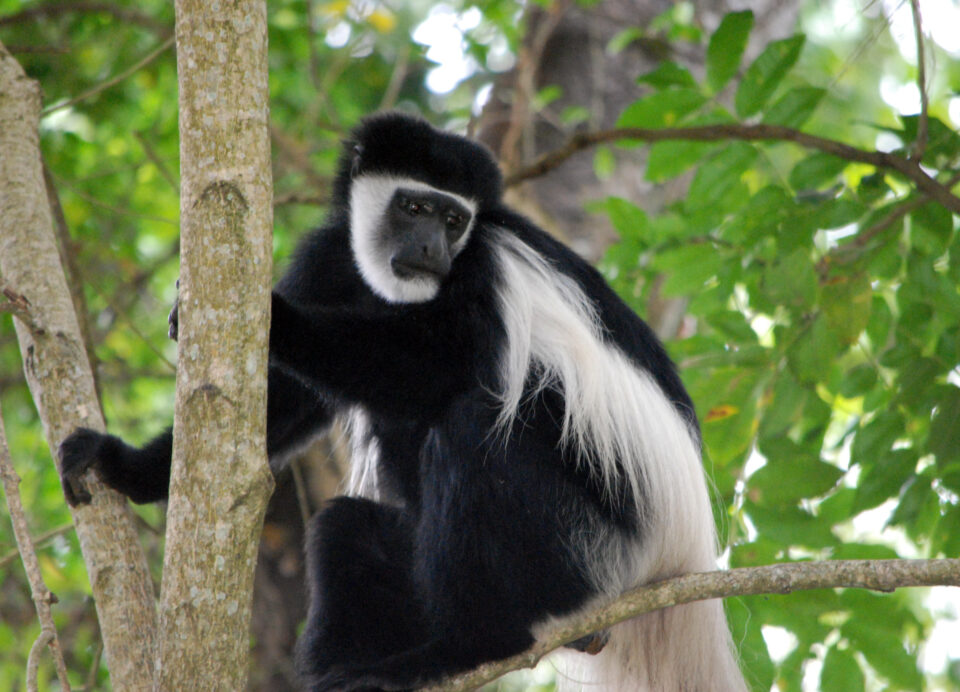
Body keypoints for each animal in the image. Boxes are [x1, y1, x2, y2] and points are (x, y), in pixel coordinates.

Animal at [60, 113, 748, 692]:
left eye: (453, 221)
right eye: (414, 207)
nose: (429, 251)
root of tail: (670, 557)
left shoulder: (485, 274)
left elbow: (429, 370)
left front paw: (283, 323)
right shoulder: (331, 258)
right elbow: (282, 402)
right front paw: (121, 467)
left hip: (586, 550)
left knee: (472, 432)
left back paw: (467, 646)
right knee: (345, 528)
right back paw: (350, 670)